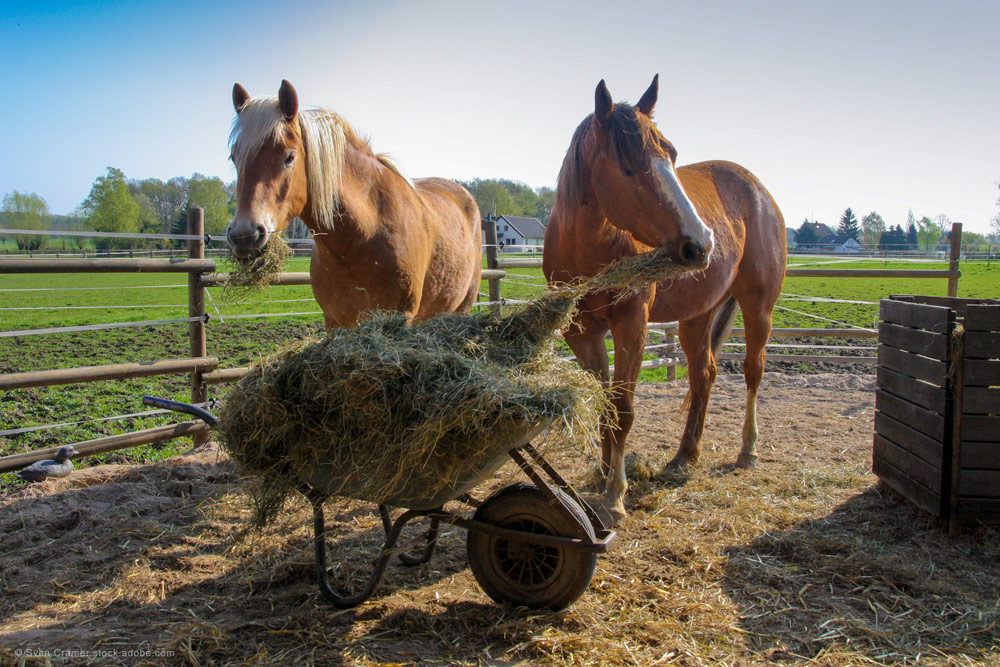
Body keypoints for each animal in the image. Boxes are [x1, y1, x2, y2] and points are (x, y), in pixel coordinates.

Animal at [226, 81, 480, 328]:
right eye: (234, 158)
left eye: (289, 156)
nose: (244, 236)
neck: (364, 233)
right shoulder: (335, 323)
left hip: (462, 308)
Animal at [548, 77, 788, 528]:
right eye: (627, 167)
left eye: (672, 155)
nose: (702, 242)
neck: (588, 247)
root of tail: (759, 191)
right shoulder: (583, 333)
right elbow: (606, 404)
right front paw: (602, 473)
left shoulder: (631, 324)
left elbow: (623, 408)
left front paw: (615, 496)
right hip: (698, 315)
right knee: (704, 374)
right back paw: (684, 456)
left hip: (758, 308)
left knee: (753, 371)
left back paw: (747, 450)